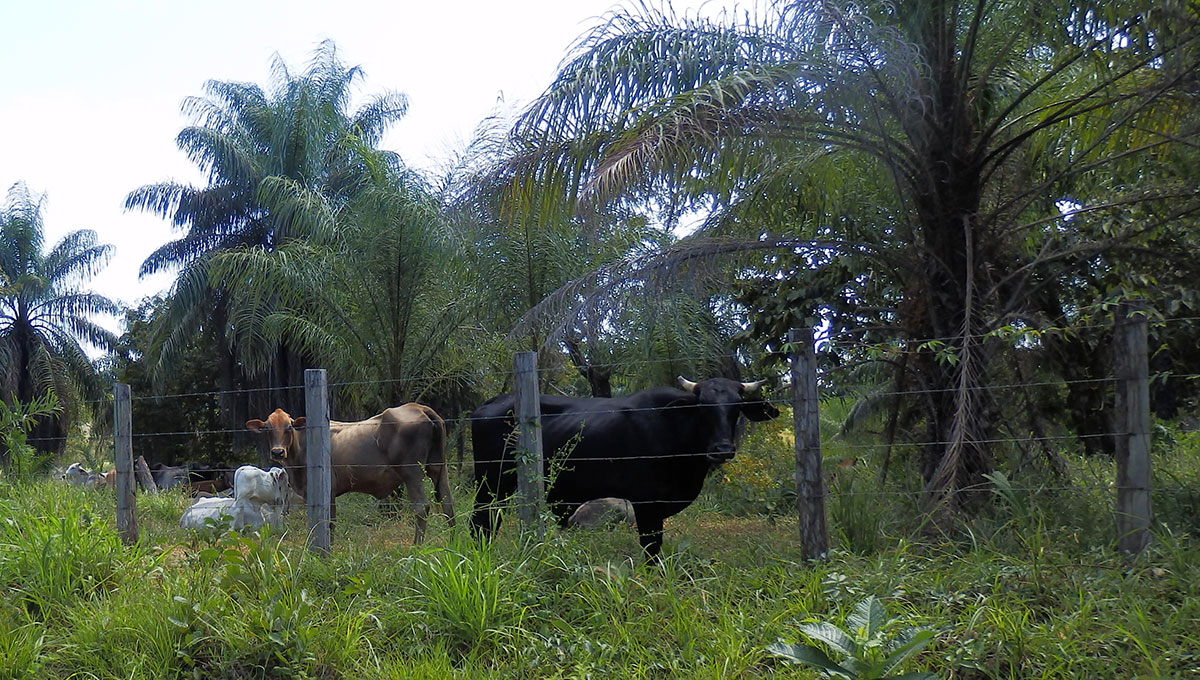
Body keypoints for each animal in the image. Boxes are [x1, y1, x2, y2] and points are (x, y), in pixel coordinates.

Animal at [243, 405, 453, 542]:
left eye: (289, 427)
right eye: (267, 428)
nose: (277, 452)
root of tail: (419, 407)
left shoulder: (324, 491)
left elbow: (326, 522)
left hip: (412, 472)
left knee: (422, 507)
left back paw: (416, 548)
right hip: (439, 467)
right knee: (447, 503)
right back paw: (453, 544)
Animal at [468, 378, 777, 558]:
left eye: (737, 407)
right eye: (702, 407)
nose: (722, 449)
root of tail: (492, 403)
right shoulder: (646, 503)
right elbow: (651, 547)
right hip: (491, 483)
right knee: (481, 522)